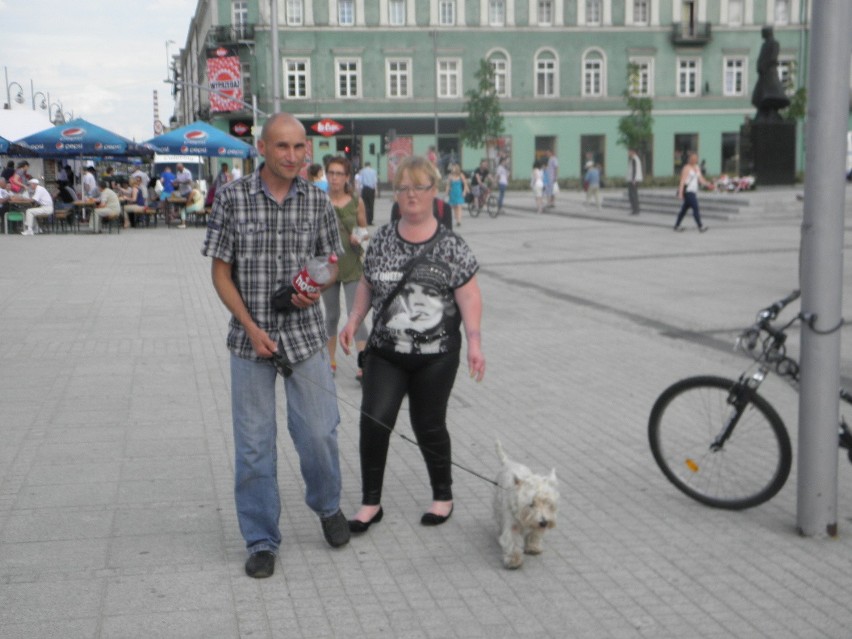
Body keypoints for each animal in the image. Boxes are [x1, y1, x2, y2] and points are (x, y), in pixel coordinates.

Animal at [492, 440, 560, 568]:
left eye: (548, 503)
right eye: (531, 504)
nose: (544, 523)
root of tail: (508, 462)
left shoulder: (537, 523)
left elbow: (535, 533)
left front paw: (533, 547)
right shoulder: (512, 523)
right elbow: (512, 541)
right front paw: (513, 560)